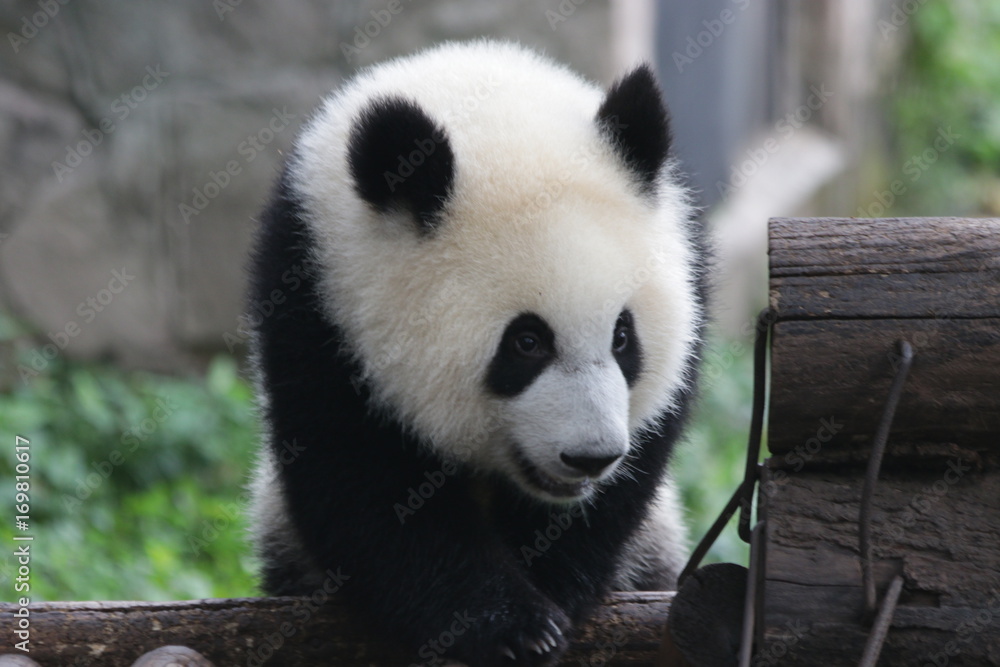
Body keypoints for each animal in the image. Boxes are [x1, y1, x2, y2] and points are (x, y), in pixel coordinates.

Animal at [248, 40, 705, 666]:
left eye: (622, 337)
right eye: (526, 342)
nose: (590, 457)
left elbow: (623, 488)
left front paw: (553, 587)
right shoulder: (316, 301)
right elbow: (362, 483)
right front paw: (513, 626)